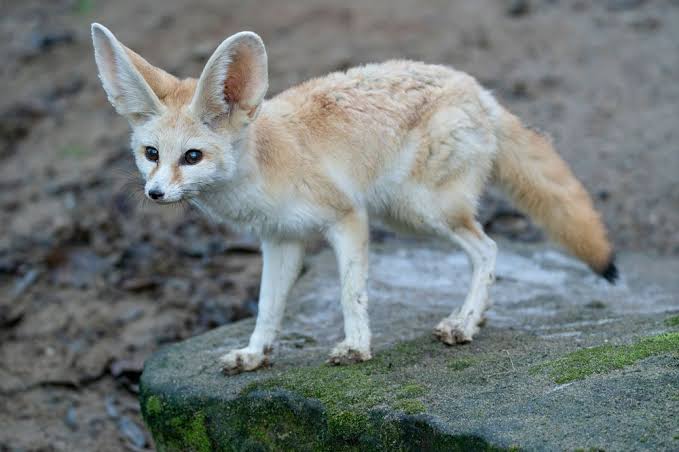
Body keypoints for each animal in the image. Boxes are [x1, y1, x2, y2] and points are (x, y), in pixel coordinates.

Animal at [91, 24, 617, 374]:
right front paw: (255, 354)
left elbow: (351, 292)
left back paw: (465, 322)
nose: (155, 193)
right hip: (407, 214)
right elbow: (267, 308)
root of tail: (476, 88)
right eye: (151, 154)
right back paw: (478, 316)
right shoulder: (280, 240)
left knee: (488, 249)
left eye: (193, 156)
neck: (265, 166)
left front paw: (357, 347)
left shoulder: (348, 218)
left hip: (420, 211)